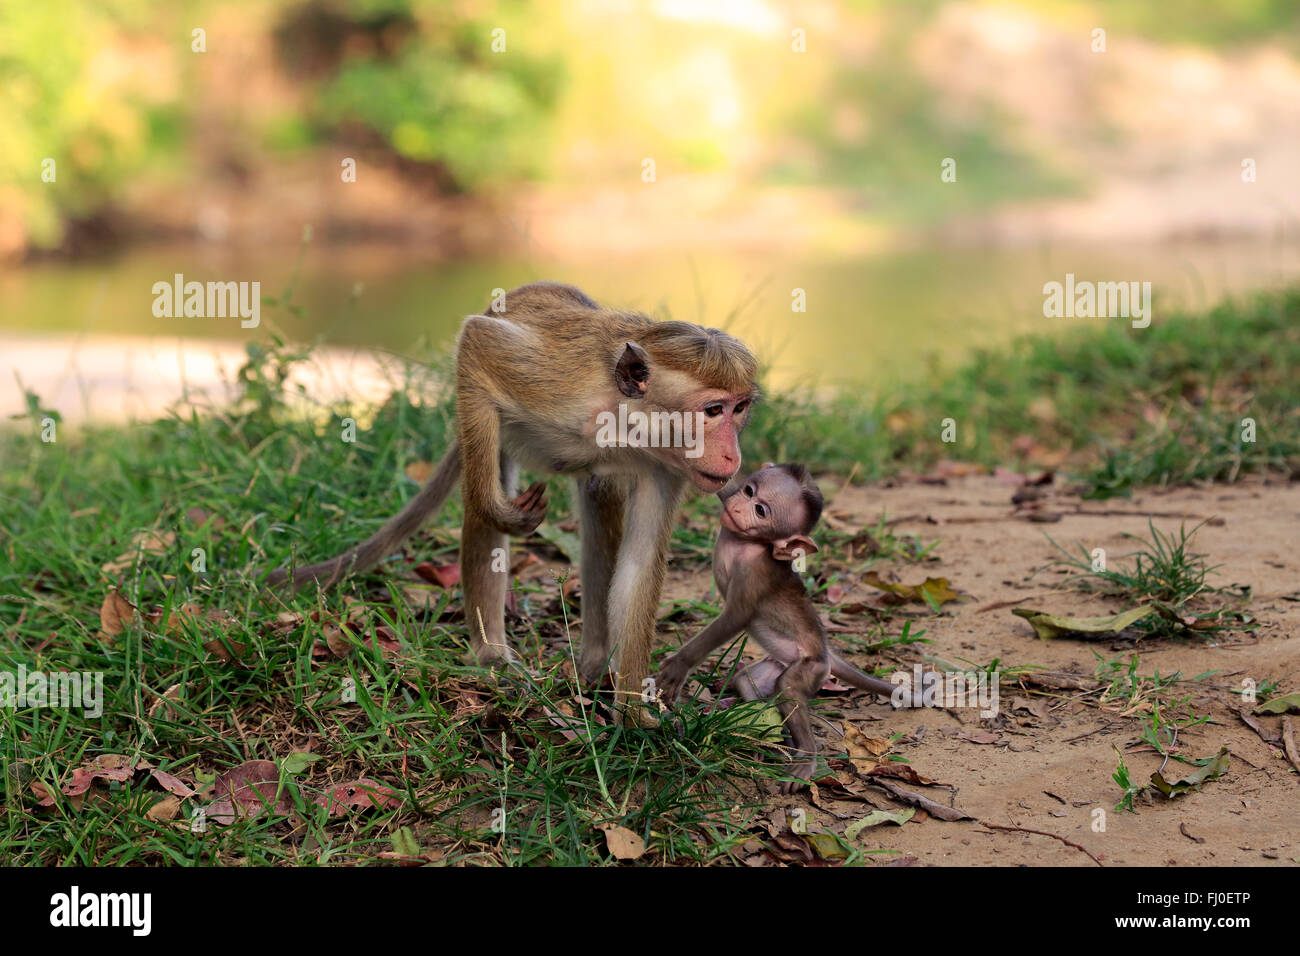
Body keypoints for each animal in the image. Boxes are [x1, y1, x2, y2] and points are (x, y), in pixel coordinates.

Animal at [268, 281, 759, 724]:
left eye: (739, 409)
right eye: (712, 410)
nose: (732, 456)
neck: (625, 419)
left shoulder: (666, 467)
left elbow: (638, 566)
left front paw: (636, 715)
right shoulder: (555, 382)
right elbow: (478, 340)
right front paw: (499, 510)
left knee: (599, 493)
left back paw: (593, 662)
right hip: (484, 419)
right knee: (484, 489)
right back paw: (493, 654)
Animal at [655, 463, 897, 792]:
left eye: (760, 511)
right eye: (748, 491)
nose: (738, 507)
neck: (744, 543)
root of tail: (826, 651)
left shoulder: (754, 574)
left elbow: (735, 617)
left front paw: (679, 666)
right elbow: (722, 485)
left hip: (811, 668)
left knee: (789, 688)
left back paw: (806, 756)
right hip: (776, 663)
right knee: (749, 682)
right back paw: (762, 729)